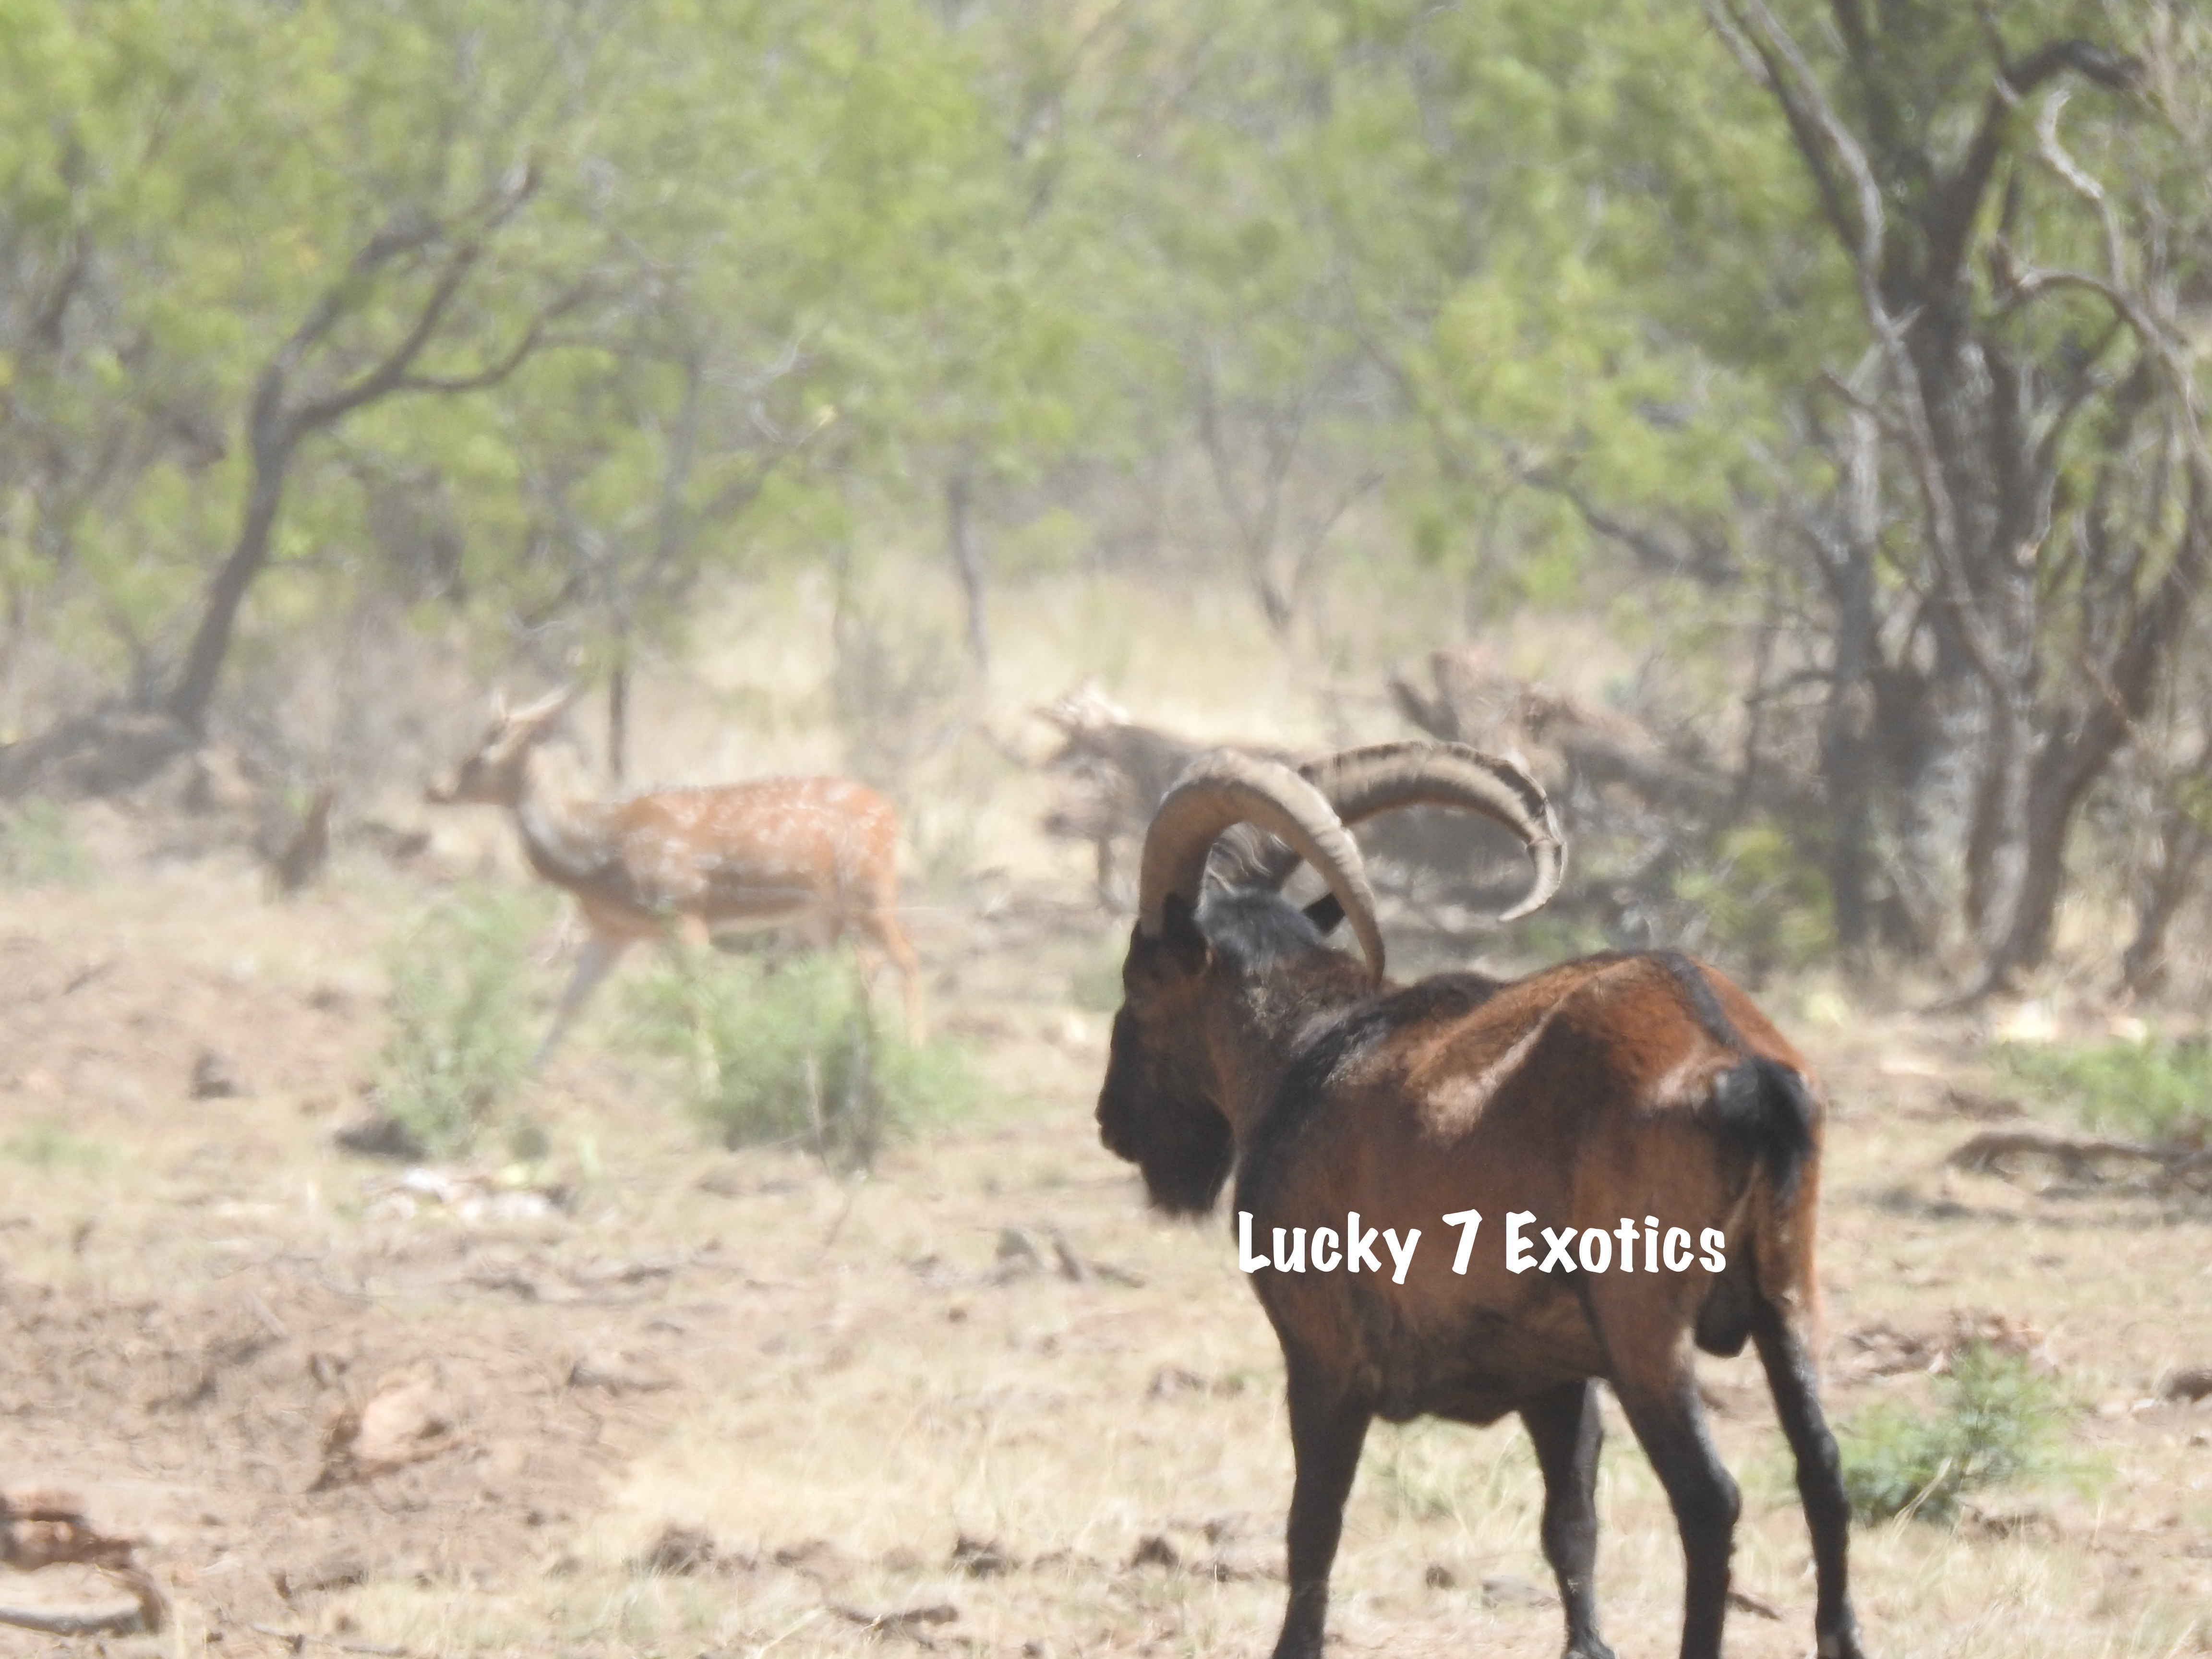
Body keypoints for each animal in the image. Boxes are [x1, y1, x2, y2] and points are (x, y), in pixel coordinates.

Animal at [427, 690, 920, 1066]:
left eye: (482, 755)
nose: (435, 787)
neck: (594, 855)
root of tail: (892, 812)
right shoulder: (613, 930)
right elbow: (571, 1003)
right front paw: (525, 1075)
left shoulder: (685, 912)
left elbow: (694, 1004)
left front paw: (710, 1078)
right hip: (819, 916)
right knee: (862, 965)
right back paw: (860, 1047)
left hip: (870, 889)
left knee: (904, 955)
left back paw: (914, 1049)